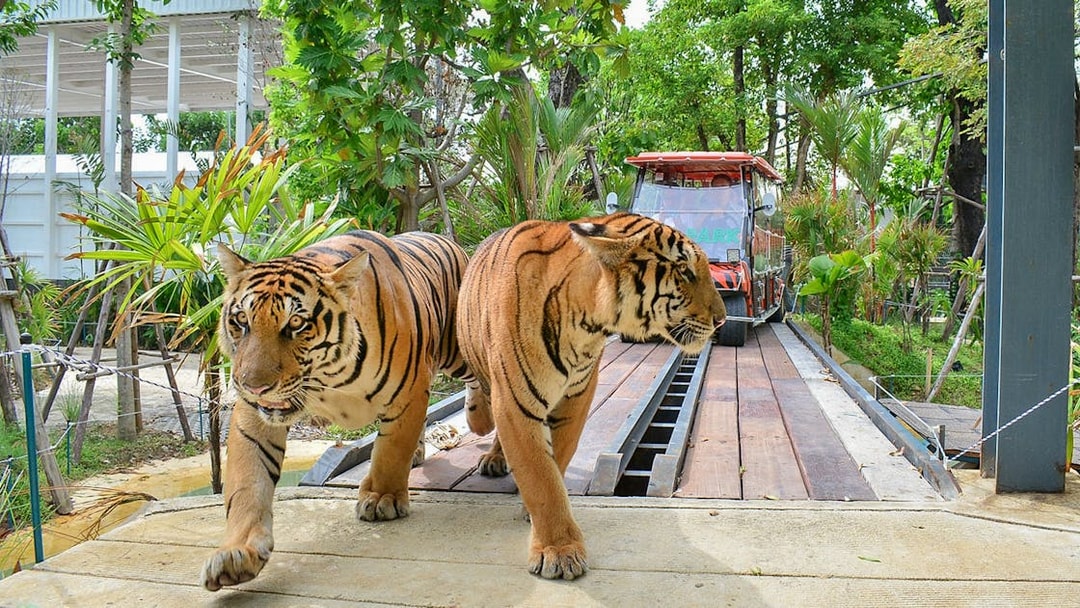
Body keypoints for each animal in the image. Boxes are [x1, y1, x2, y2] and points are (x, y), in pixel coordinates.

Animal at [201, 230, 473, 592]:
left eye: (296, 323)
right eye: (241, 320)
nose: (253, 386)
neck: (327, 378)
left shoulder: (409, 391)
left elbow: (391, 451)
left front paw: (382, 498)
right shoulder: (253, 416)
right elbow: (247, 482)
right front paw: (236, 553)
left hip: (462, 351)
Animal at [456, 212, 726, 580]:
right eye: (684, 271)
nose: (722, 319)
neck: (587, 323)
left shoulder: (577, 397)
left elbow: (557, 459)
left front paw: (544, 523)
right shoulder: (515, 401)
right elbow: (540, 475)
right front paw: (559, 550)